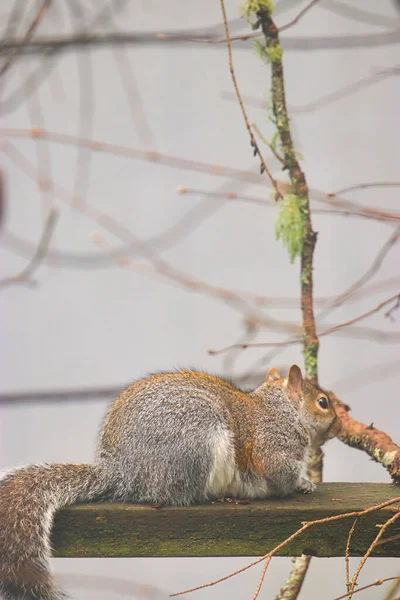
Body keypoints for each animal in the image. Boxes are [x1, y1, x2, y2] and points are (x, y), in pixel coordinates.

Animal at [0, 366, 340, 600]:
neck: (281, 408)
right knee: (183, 492)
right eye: (323, 402)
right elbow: (280, 471)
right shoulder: (272, 445)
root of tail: (121, 471)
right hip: (196, 442)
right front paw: (303, 483)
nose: (338, 422)